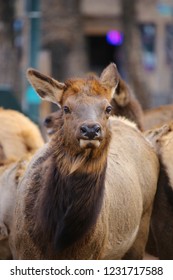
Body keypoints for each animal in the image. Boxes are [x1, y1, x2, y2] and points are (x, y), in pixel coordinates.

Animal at [9, 64, 159, 260]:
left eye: (108, 108)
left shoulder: (92, 254)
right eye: (66, 108)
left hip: (143, 224)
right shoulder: (21, 251)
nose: (90, 129)